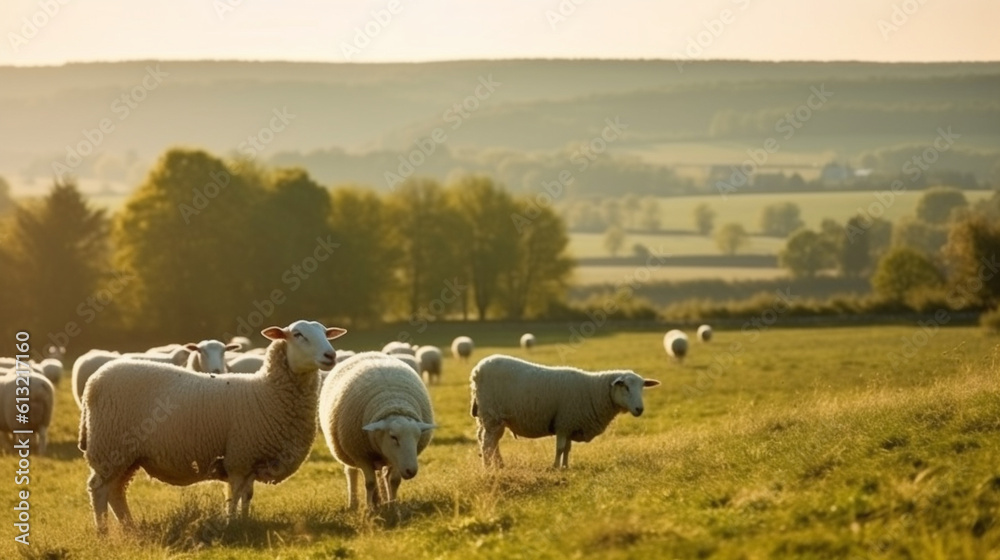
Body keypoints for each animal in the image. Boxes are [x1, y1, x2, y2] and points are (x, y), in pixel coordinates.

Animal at [79, 320, 347, 533]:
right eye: (298, 334)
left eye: (326, 332)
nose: (330, 356)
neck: (265, 392)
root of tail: (93, 382)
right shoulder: (239, 458)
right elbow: (234, 495)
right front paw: (231, 525)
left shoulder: (250, 459)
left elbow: (247, 495)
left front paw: (245, 522)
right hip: (110, 447)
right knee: (99, 490)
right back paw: (102, 532)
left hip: (127, 455)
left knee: (116, 492)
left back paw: (129, 528)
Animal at [319, 352, 435, 510]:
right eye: (393, 437)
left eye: (417, 437)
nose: (411, 471)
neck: (392, 402)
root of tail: (367, 353)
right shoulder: (361, 455)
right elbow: (369, 483)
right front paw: (370, 509)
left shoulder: (397, 458)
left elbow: (394, 480)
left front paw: (393, 505)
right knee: (352, 473)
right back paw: (354, 503)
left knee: (382, 476)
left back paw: (382, 500)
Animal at [470, 354, 660, 469]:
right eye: (625, 387)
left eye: (642, 387)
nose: (639, 409)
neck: (593, 392)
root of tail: (477, 371)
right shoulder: (563, 423)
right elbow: (560, 448)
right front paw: (555, 467)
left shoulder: (570, 424)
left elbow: (568, 449)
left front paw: (566, 467)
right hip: (492, 415)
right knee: (487, 444)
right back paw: (489, 468)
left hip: (489, 418)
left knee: (490, 441)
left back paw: (499, 466)